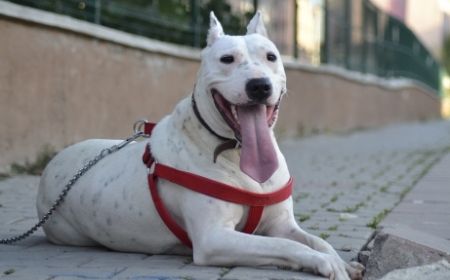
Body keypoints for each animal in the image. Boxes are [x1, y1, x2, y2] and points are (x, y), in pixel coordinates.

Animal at [37, 12, 364, 278]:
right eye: (227, 59)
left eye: (271, 57)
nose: (259, 85)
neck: (235, 152)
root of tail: (52, 165)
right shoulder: (214, 238)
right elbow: (285, 246)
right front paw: (325, 263)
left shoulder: (283, 224)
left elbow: (317, 240)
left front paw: (341, 261)